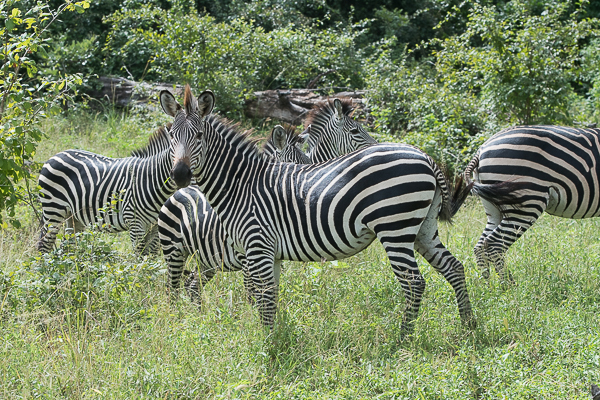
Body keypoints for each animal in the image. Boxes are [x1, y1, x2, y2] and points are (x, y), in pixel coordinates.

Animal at [37, 86, 213, 255]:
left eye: (200, 136)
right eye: (171, 136)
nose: (180, 175)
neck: (153, 179)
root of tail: (57, 154)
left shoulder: (155, 228)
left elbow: (151, 258)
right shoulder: (135, 224)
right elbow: (139, 257)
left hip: (73, 217)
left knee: (68, 246)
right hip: (53, 210)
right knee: (44, 244)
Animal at [157, 123, 312, 302]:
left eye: (310, 162)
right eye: (295, 166)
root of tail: (179, 191)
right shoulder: (247, 258)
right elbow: (252, 295)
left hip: (207, 258)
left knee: (193, 285)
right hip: (173, 251)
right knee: (172, 289)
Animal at [458, 124, 600, 282]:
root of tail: (481, 149)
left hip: (494, 207)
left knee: (480, 247)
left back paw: (487, 286)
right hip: (526, 203)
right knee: (495, 245)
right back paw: (509, 287)